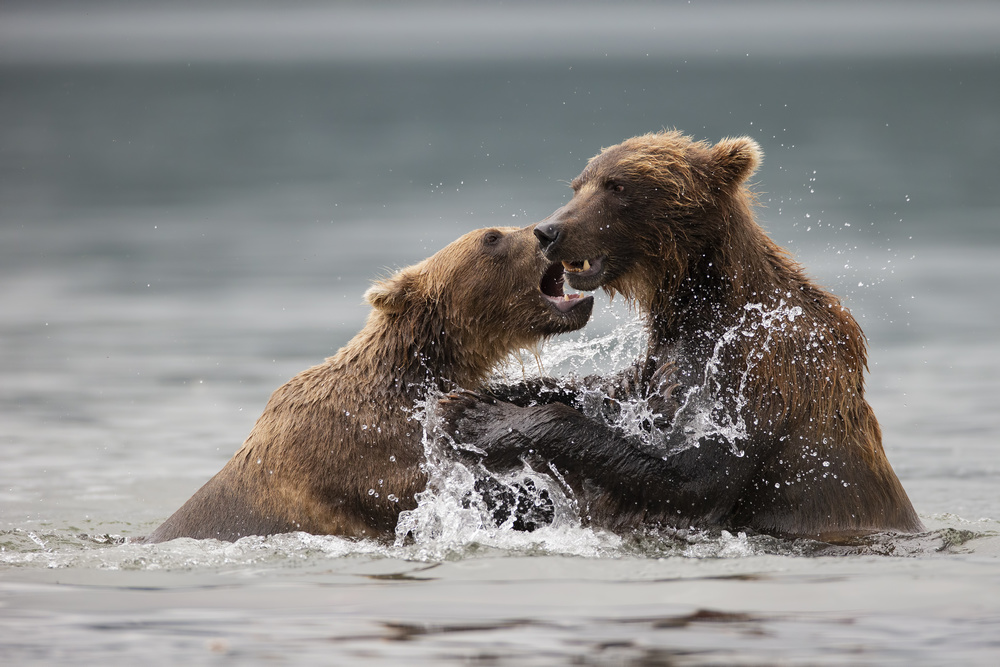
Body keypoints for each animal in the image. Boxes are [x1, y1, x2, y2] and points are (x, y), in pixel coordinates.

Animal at [442, 130, 924, 544]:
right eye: (578, 185)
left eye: (616, 186)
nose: (548, 231)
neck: (702, 298)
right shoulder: (666, 355)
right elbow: (613, 390)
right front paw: (472, 396)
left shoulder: (760, 361)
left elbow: (697, 474)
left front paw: (482, 419)